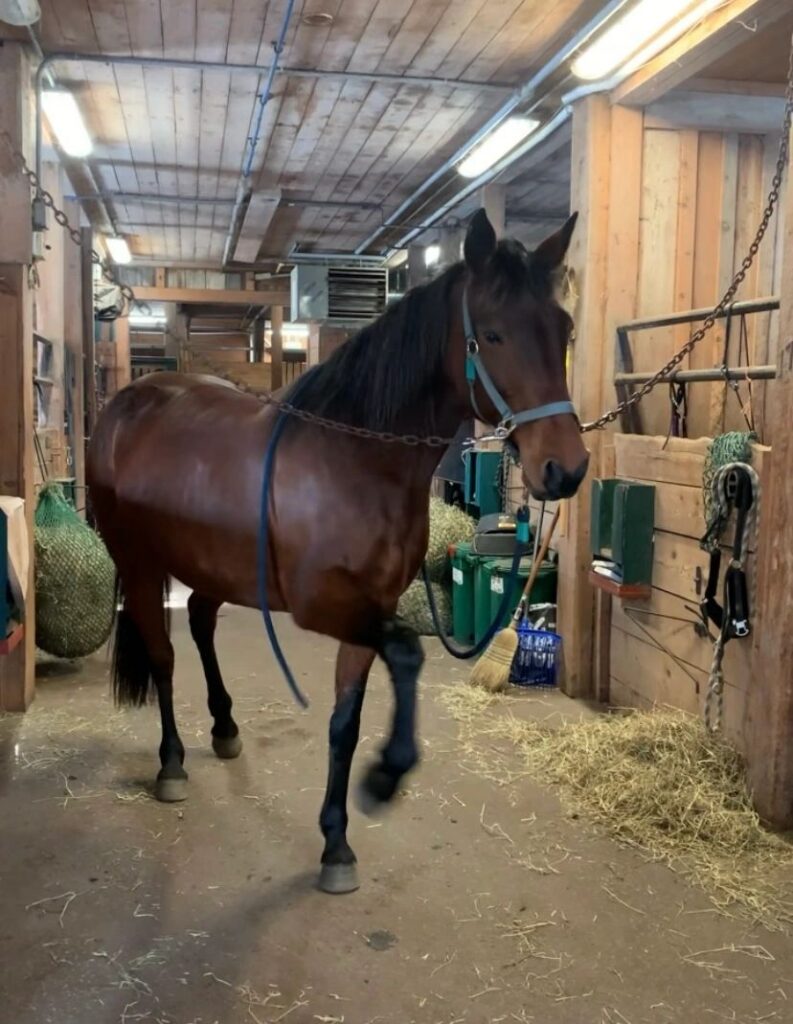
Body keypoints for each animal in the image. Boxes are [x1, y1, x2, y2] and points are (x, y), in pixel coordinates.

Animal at [86, 208, 589, 895]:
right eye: (491, 333)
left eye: (563, 329)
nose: (565, 469)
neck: (354, 460)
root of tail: (126, 404)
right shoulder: (326, 606)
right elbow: (407, 653)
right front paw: (385, 775)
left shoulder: (369, 609)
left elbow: (345, 722)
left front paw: (336, 843)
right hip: (140, 565)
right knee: (163, 656)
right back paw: (172, 764)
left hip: (211, 567)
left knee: (201, 627)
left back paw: (226, 728)